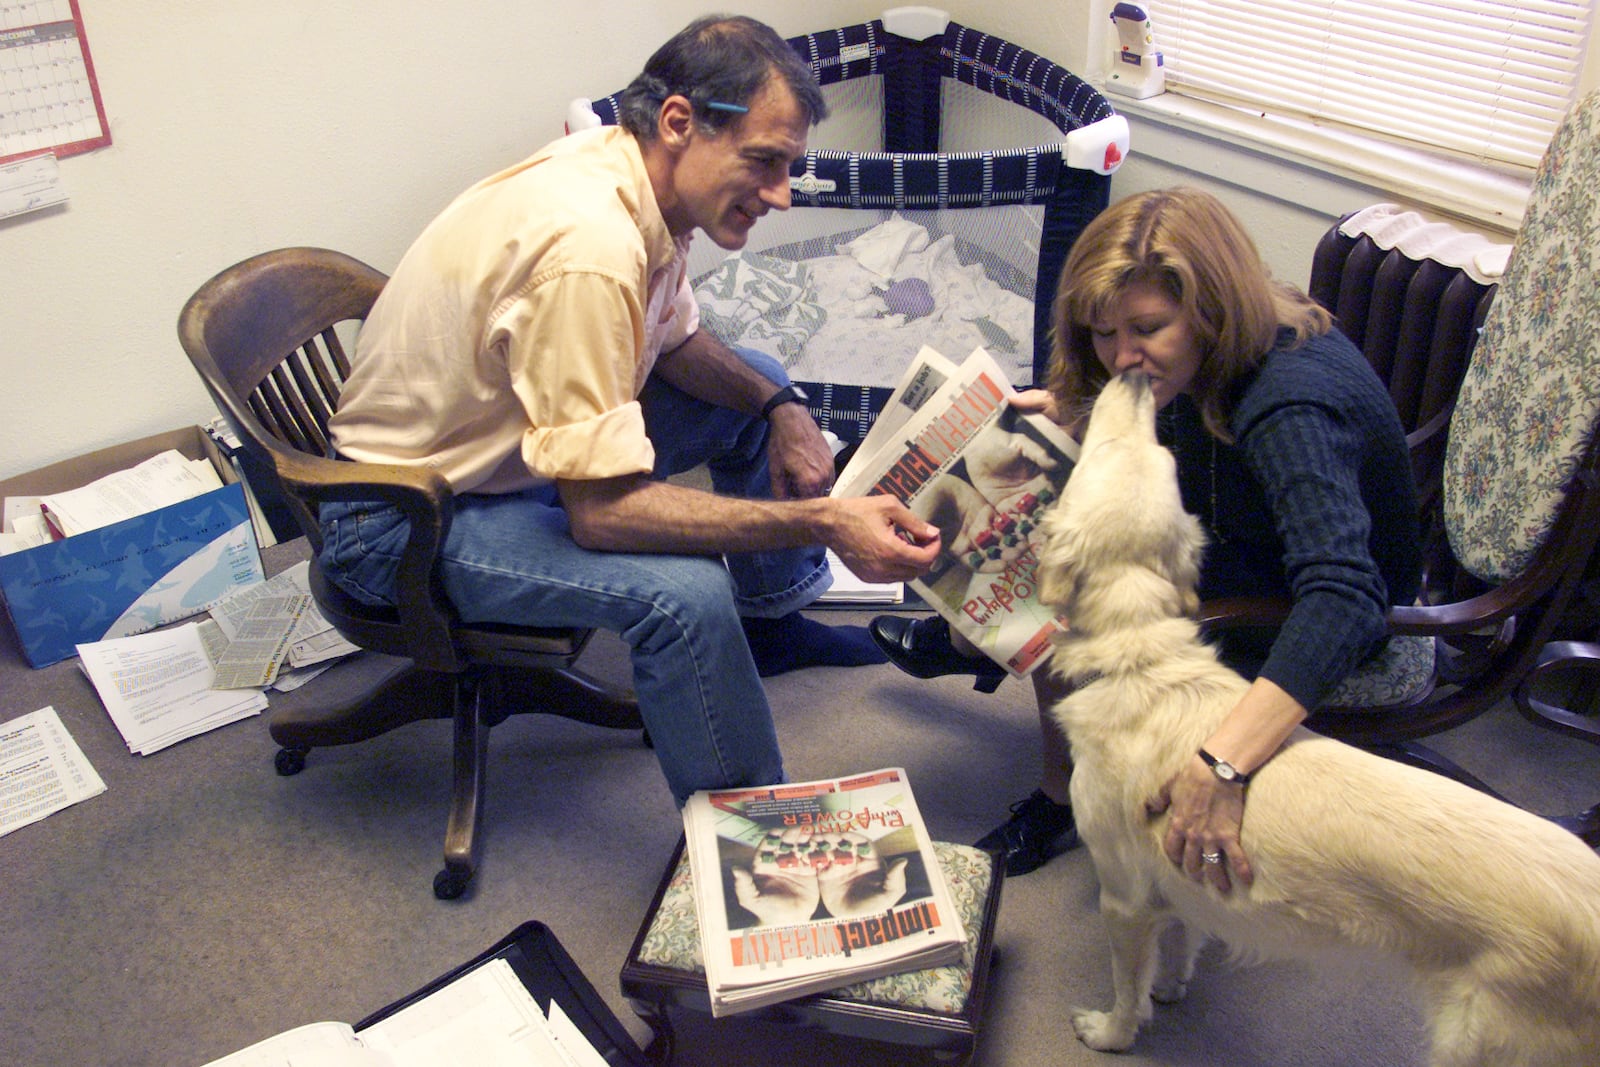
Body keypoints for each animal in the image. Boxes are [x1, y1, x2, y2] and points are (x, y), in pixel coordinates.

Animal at [1036, 369, 1600, 1067]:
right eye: (1163, 460)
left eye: (1109, 451)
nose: (1137, 375)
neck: (1141, 658)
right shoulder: (1180, 879)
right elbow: (1184, 937)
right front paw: (1172, 987)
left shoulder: (1122, 898)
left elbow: (1126, 987)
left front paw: (1112, 1032)